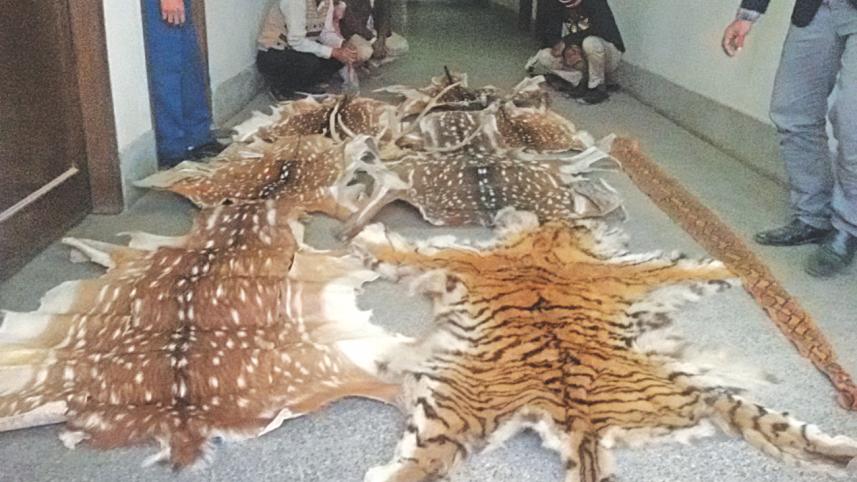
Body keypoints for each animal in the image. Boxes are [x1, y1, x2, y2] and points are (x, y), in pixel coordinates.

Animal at [351, 208, 857, 482]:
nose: (613, 227)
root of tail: (582, 419)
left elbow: (400, 252)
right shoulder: (630, 273)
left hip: (447, 412)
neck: (548, 244)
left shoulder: (458, 258)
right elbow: (679, 269)